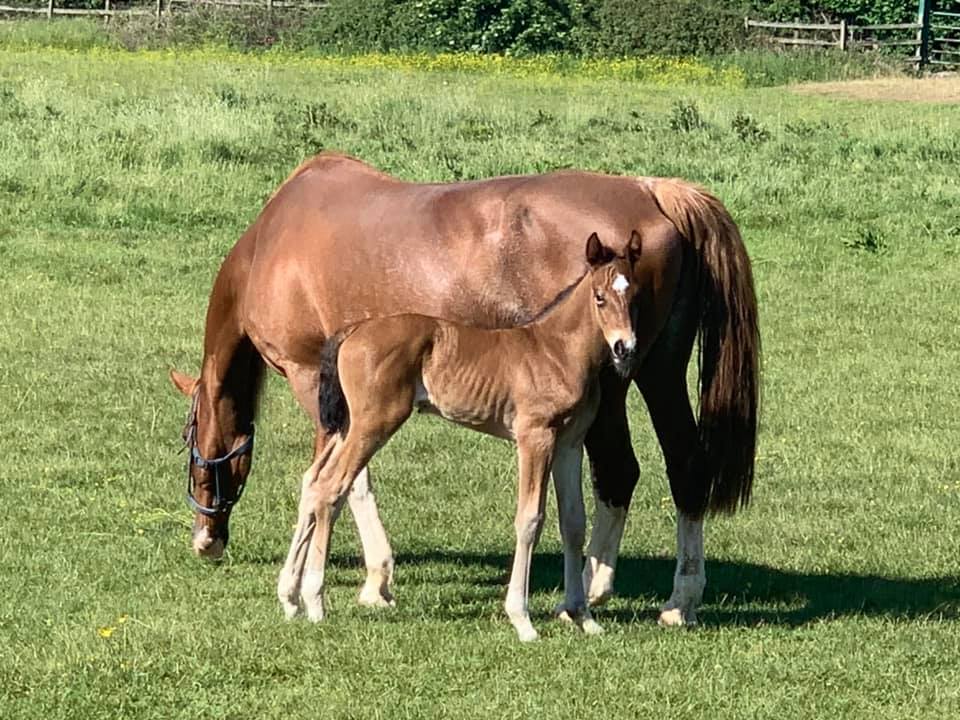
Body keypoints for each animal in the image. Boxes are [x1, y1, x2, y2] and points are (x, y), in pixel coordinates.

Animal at [278, 232, 636, 640]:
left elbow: (573, 522)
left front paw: (583, 616)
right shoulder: (535, 438)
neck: (555, 350)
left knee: (314, 482)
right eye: (599, 296)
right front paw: (522, 620)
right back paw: (315, 600)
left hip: (347, 425)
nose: (625, 347)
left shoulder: (569, 444)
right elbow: (530, 519)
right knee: (331, 487)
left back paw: (290, 597)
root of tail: (352, 331)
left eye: (633, 294)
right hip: (373, 423)